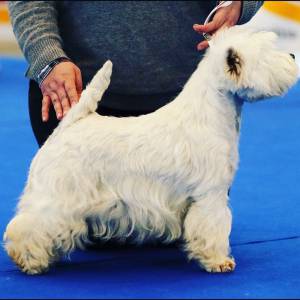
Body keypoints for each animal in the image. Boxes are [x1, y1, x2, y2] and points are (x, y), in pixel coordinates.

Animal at [3, 26, 298, 274]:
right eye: (270, 54)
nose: (293, 55)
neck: (211, 113)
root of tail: (71, 123)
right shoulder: (211, 194)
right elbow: (213, 226)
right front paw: (218, 261)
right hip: (58, 194)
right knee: (29, 224)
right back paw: (28, 260)